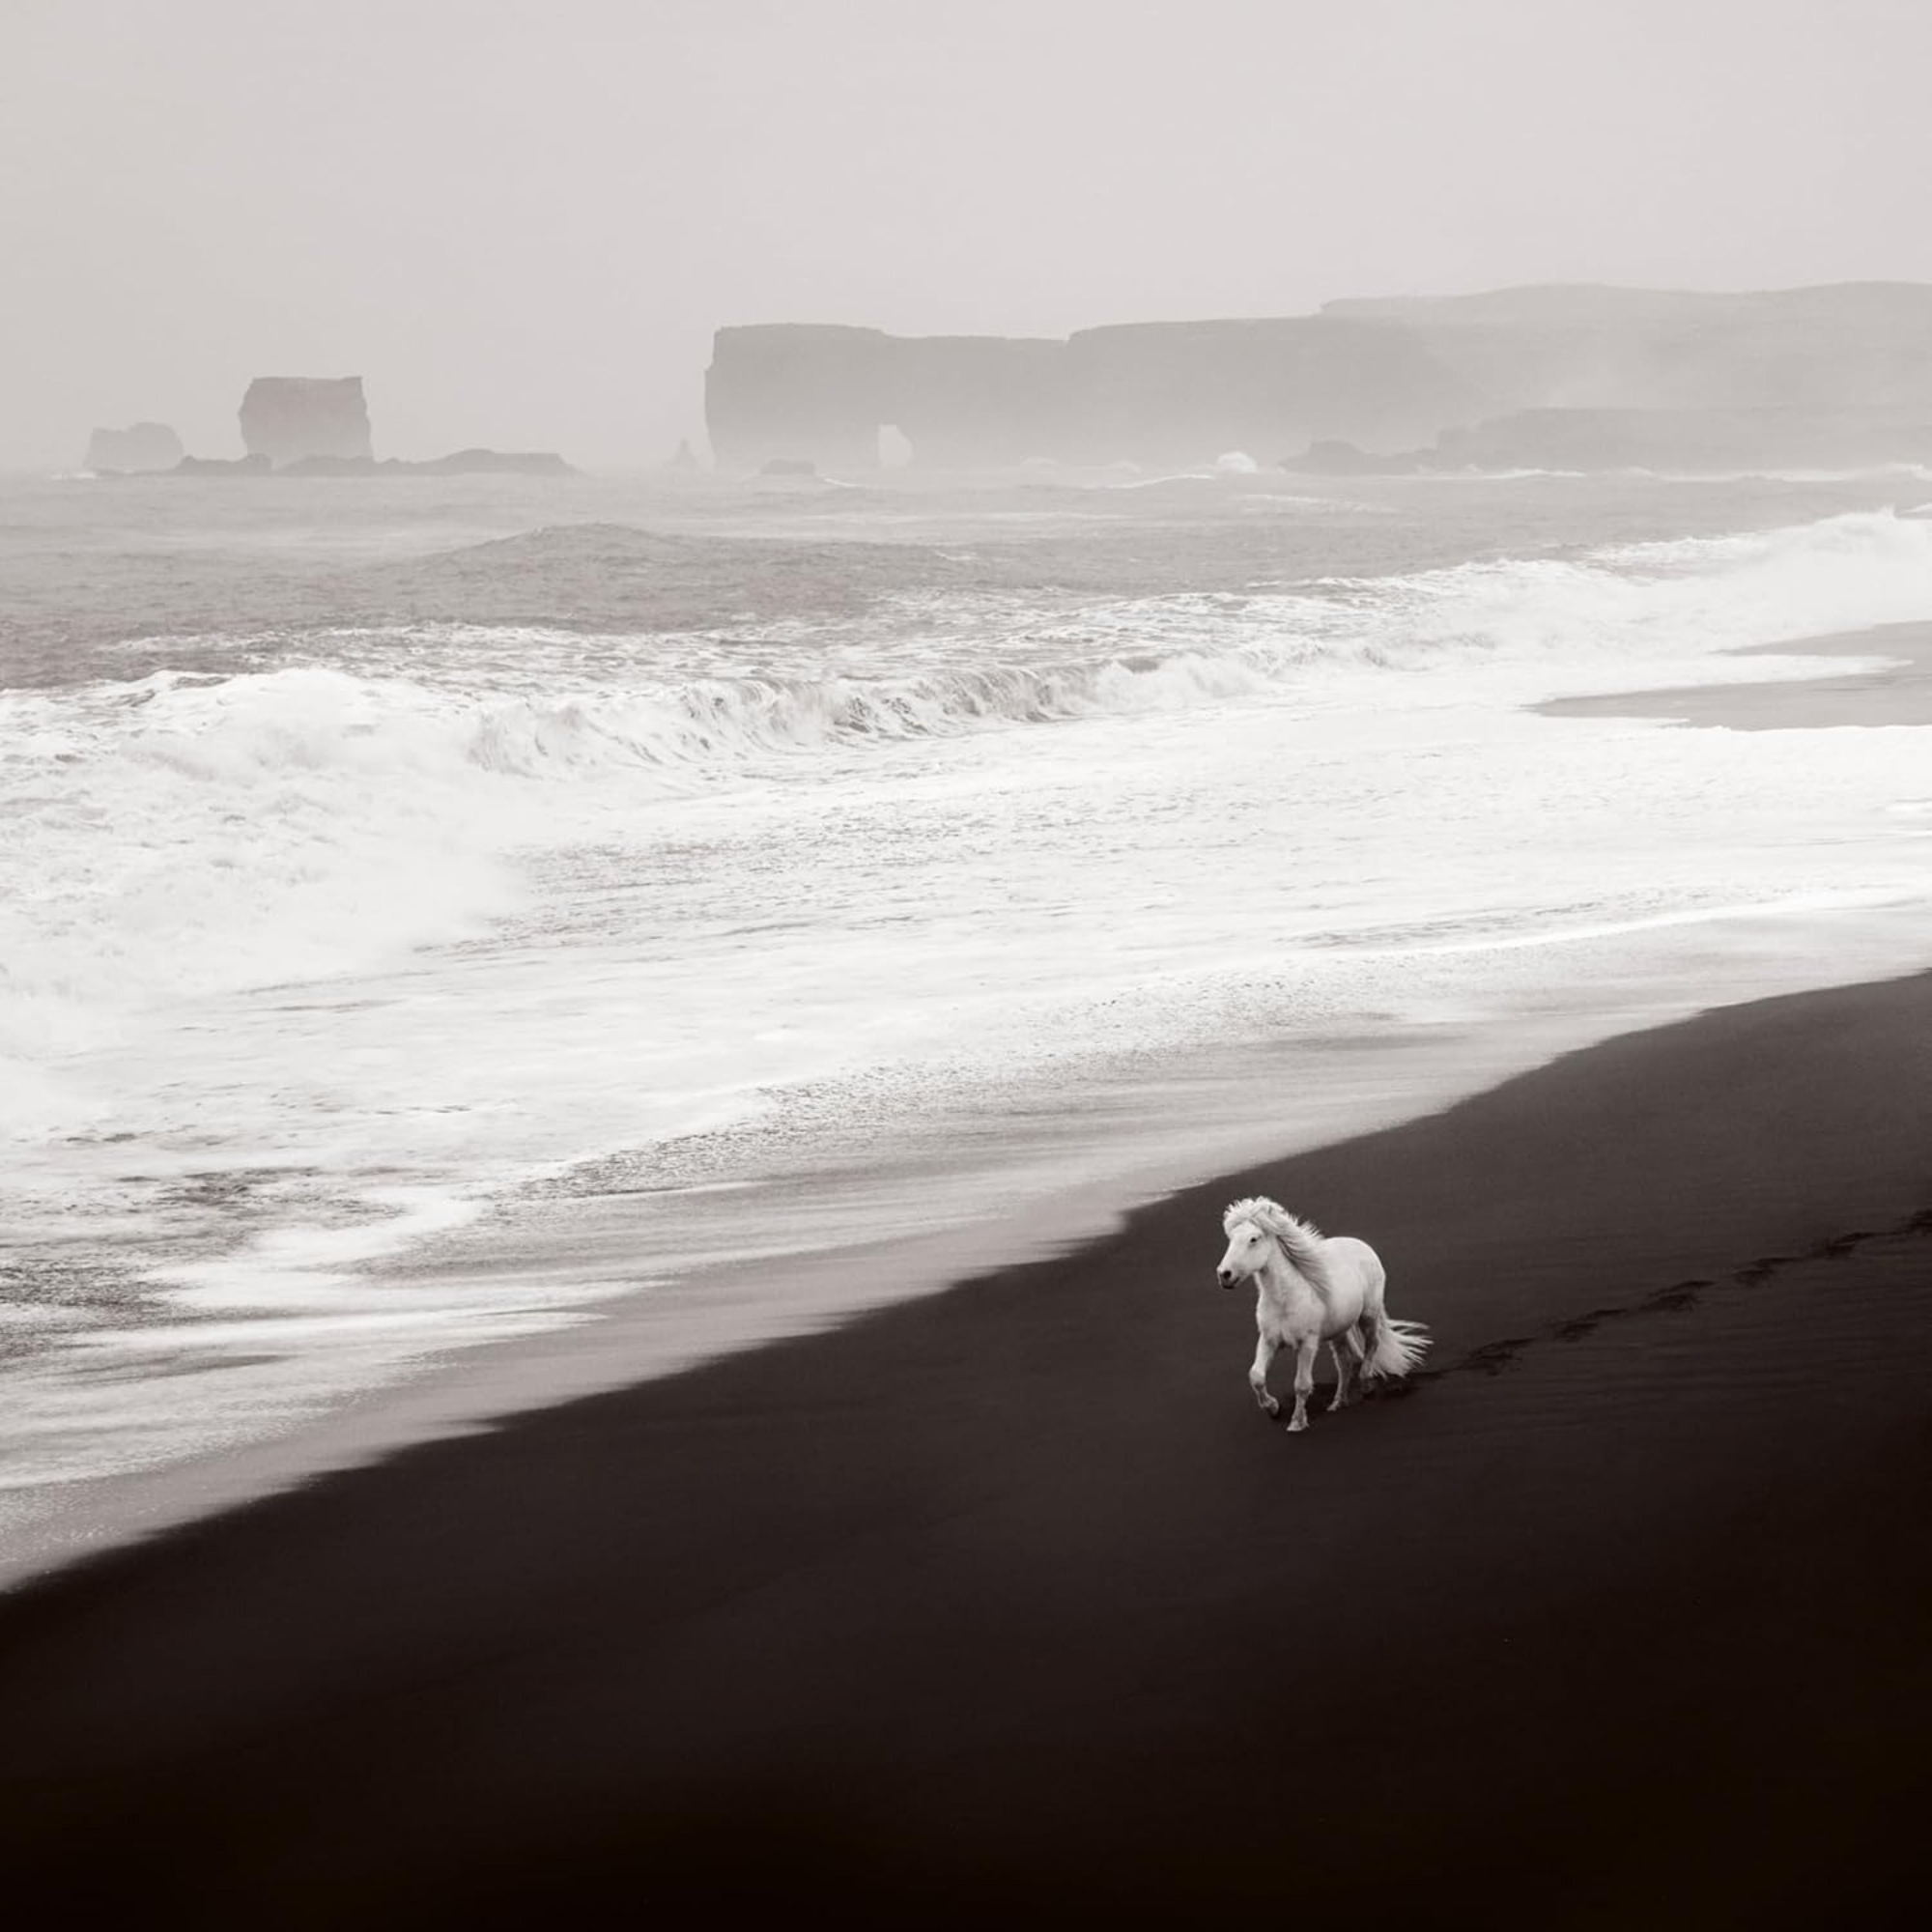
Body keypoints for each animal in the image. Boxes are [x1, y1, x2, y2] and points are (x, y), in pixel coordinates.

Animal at [1215, 1197, 1430, 1432]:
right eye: (1231, 1239)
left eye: (1253, 1239)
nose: (1224, 1275)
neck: (1285, 1299)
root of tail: (1362, 1245)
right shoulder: (1268, 1340)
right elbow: (1256, 1376)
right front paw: (1273, 1408)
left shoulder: (1308, 1343)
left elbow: (1301, 1384)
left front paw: (1297, 1422)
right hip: (1339, 1331)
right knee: (1344, 1363)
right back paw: (1338, 1402)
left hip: (1369, 1316)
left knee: (1372, 1345)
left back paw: (1365, 1384)